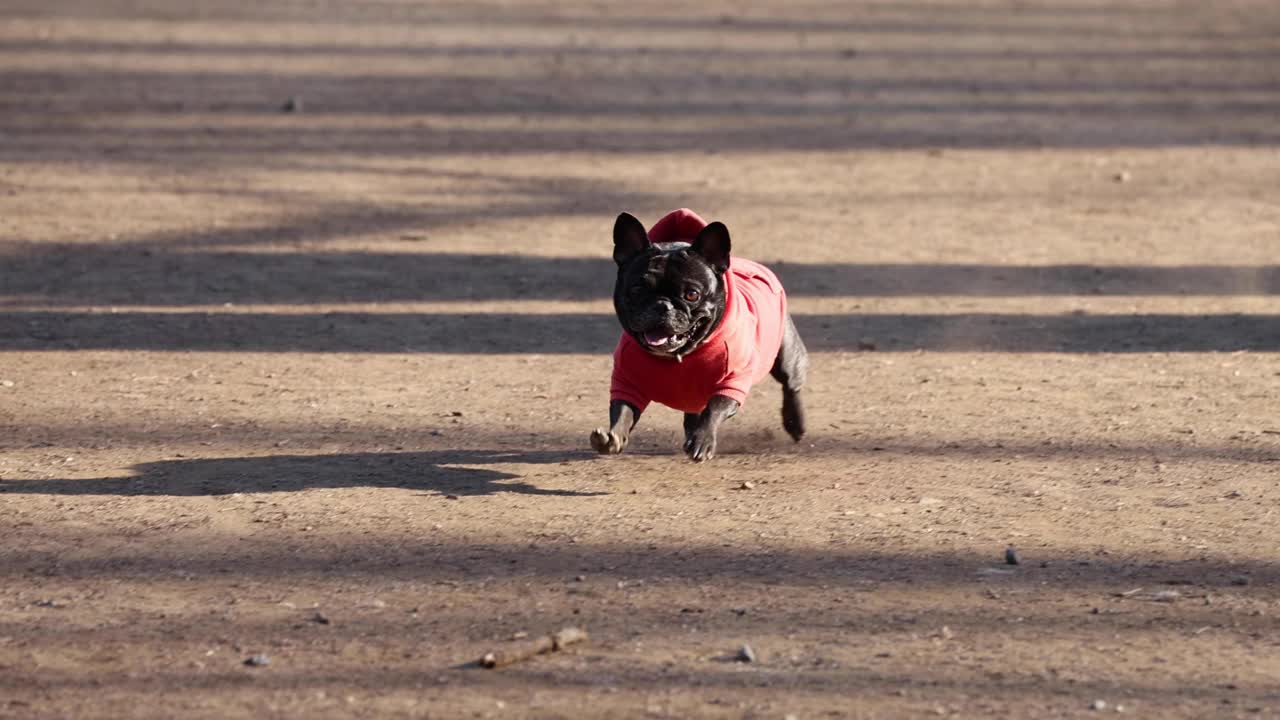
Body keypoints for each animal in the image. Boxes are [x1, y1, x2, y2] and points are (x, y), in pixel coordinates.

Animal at [588, 207, 808, 458]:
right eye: (637, 290)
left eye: (692, 294)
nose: (662, 305)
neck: (679, 356)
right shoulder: (627, 382)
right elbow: (622, 412)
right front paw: (612, 438)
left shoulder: (733, 382)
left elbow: (715, 408)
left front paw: (703, 441)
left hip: (786, 355)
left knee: (791, 385)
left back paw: (795, 424)